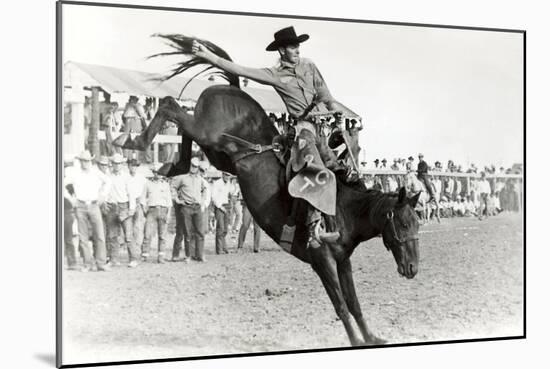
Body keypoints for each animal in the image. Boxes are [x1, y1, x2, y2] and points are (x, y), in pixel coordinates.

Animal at [116, 34, 422, 344]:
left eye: (417, 224)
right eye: (402, 224)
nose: (412, 269)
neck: (343, 208)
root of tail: (232, 87)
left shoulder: (343, 260)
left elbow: (354, 303)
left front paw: (371, 338)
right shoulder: (322, 260)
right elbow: (341, 305)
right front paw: (357, 340)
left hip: (218, 153)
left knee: (183, 130)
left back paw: (170, 166)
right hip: (209, 134)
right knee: (171, 106)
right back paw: (133, 141)